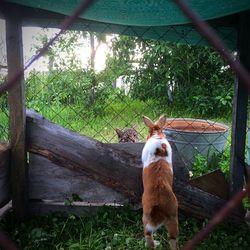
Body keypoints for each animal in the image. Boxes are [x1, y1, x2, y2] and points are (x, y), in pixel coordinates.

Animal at [142, 115, 179, 250]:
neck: (157, 135)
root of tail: (158, 201)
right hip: (173, 218)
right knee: (173, 240)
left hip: (146, 216)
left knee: (148, 234)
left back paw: (153, 244)